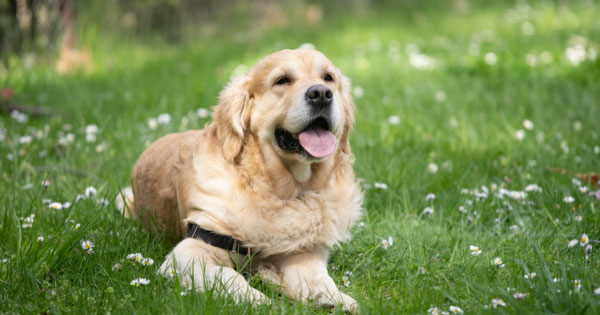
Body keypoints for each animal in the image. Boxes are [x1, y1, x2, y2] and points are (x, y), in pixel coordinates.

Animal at [116, 49, 360, 314]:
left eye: (328, 78)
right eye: (282, 80)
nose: (322, 94)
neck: (279, 192)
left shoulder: (302, 251)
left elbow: (316, 276)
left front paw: (333, 296)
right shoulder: (189, 252)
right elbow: (227, 275)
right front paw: (258, 299)